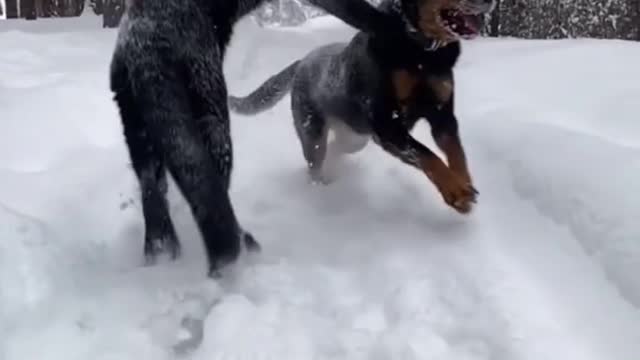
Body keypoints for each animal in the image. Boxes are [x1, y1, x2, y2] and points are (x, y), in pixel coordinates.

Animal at [110, 0, 430, 278]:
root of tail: (144, 51)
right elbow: (361, 12)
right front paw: (395, 28)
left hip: (141, 133)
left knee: (154, 193)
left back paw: (162, 254)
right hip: (212, 118)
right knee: (211, 192)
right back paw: (236, 256)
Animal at [230, 0, 496, 214]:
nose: (491, 1)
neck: (420, 50)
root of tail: (302, 62)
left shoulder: (443, 117)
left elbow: (456, 152)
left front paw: (463, 184)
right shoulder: (387, 124)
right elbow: (427, 155)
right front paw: (456, 191)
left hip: (355, 136)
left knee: (338, 148)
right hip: (314, 133)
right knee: (315, 162)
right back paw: (320, 190)